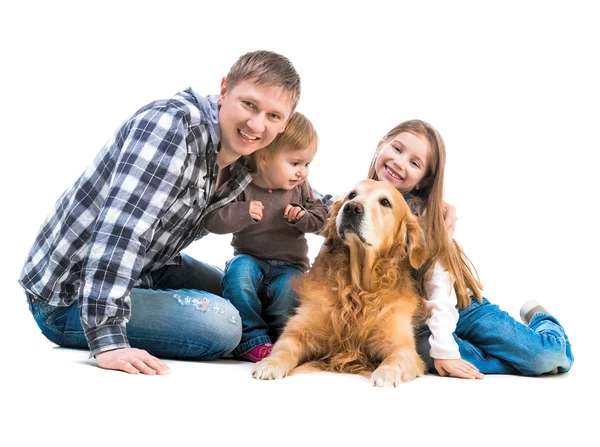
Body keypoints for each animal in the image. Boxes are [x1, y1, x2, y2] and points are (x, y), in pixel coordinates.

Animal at [252, 180, 426, 386]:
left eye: (385, 202)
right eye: (352, 195)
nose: (352, 208)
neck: (356, 287)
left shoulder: (401, 344)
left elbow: (396, 358)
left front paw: (385, 373)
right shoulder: (298, 331)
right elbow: (284, 348)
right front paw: (269, 363)